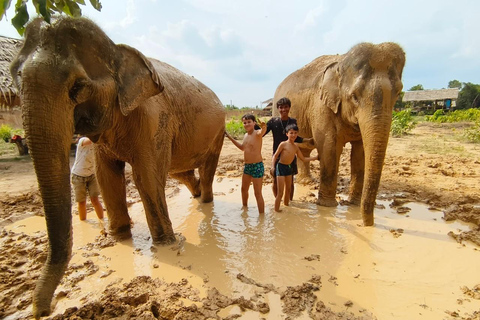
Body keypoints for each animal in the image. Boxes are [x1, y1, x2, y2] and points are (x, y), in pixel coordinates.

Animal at [10, 16, 226, 318]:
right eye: (15, 78)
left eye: (77, 87)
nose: (43, 310)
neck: (116, 48)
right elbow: (107, 176)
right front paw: (119, 238)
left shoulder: (154, 118)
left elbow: (146, 177)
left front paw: (165, 245)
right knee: (180, 171)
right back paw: (195, 197)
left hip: (218, 130)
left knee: (204, 170)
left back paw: (205, 202)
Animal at [274, 42, 404, 226]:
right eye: (354, 96)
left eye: (398, 93)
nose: (367, 224)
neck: (341, 62)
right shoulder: (321, 106)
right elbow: (329, 147)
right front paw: (327, 206)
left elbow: (360, 153)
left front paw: (354, 205)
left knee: (303, 150)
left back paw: (307, 181)